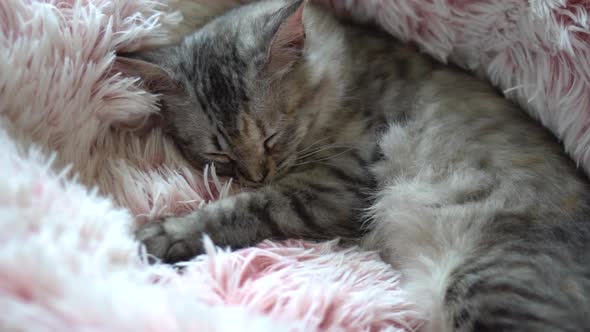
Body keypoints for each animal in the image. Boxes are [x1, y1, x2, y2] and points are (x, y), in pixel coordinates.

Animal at [125, 0, 590, 330]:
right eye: (219, 154)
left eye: (271, 138)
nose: (257, 175)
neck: (345, 74)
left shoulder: (335, 185)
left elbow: (234, 211)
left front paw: (159, 236)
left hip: (488, 285)